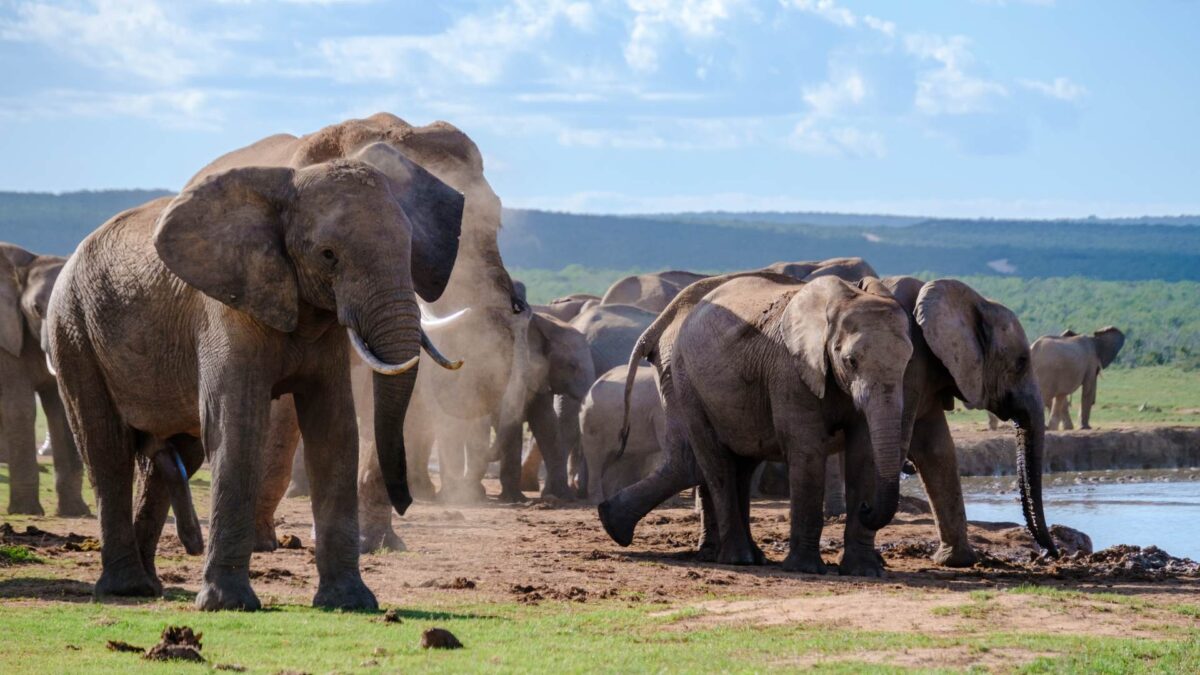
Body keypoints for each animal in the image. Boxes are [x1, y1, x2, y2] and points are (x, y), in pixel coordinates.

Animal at [0, 243, 88, 511]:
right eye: (37, 310)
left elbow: (60, 408)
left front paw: (75, 512)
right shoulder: (7, 339)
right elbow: (21, 407)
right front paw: (25, 510)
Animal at [46, 138, 460, 610]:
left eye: (410, 251)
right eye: (328, 255)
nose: (408, 502)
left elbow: (334, 430)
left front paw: (350, 602)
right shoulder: (226, 309)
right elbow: (238, 425)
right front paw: (227, 604)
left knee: (175, 455)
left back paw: (150, 587)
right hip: (72, 330)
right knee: (106, 449)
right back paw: (126, 589)